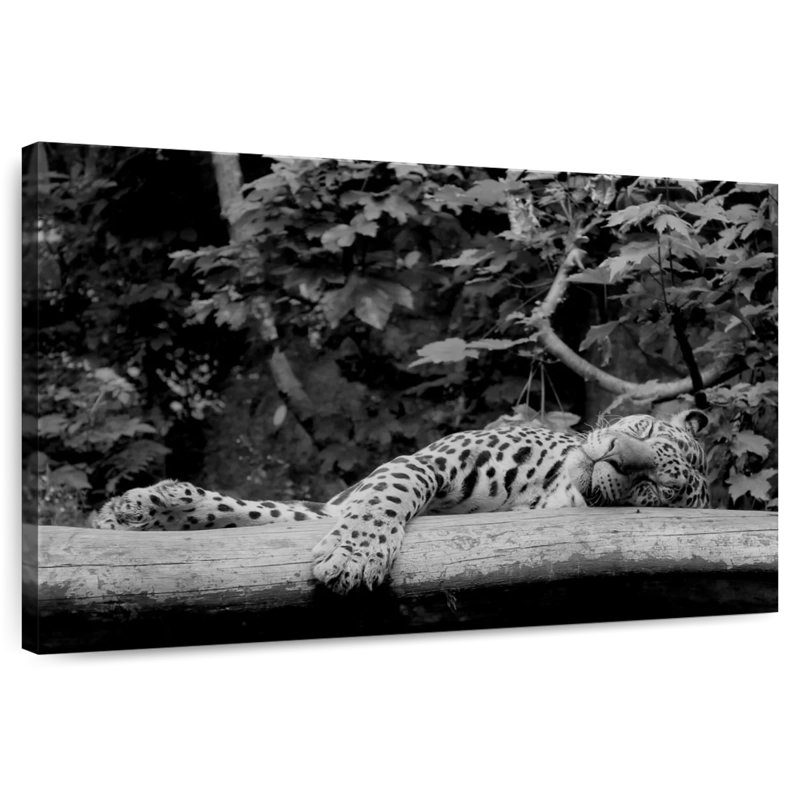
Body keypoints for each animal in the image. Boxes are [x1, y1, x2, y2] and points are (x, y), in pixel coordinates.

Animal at [92, 410, 710, 594]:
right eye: (645, 429)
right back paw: (139, 506)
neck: (549, 494)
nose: (616, 455)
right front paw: (355, 555)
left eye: (656, 487)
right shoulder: (428, 462)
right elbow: (387, 495)